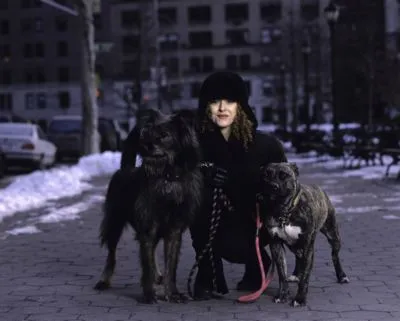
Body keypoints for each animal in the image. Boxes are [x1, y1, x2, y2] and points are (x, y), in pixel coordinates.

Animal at [94, 108, 203, 302]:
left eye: (164, 135)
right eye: (148, 133)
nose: (145, 146)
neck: (167, 177)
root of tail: (125, 168)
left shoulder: (174, 231)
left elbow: (171, 267)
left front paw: (173, 292)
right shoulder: (147, 227)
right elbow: (146, 263)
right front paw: (149, 293)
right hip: (114, 223)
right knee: (112, 254)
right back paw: (104, 280)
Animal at [258, 162, 348, 304]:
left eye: (284, 175)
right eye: (265, 175)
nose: (273, 186)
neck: (284, 212)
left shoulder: (307, 246)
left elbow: (305, 276)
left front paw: (300, 298)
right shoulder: (276, 245)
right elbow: (282, 273)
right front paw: (282, 295)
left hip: (333, 235)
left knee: (335, 255)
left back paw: (341, 276)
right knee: (298, 257)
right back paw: (295, 274)